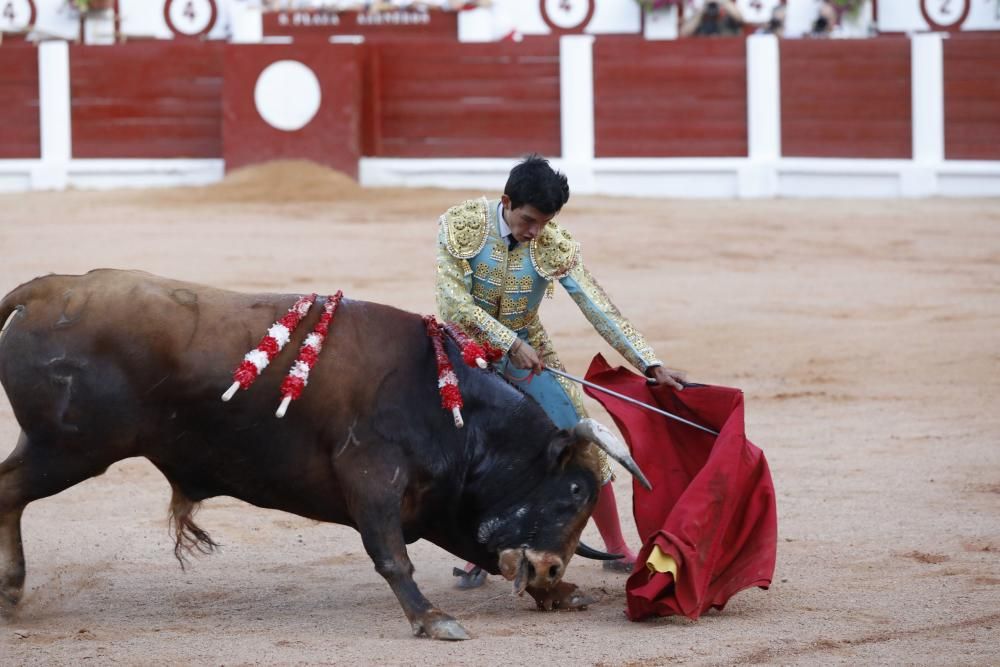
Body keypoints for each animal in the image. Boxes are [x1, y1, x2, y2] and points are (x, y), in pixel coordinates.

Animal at [0, 270, 648, 640]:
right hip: (71, 448)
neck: (447, 402)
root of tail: (42, 290)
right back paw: (10, 590)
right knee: (10, 493)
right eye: (572, 491)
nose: (551, 569)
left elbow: (463, 550)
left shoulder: (428, 502)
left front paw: (559, 594)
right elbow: (391, 556)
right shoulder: (371, 477)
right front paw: (433, 620)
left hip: (56, 448)